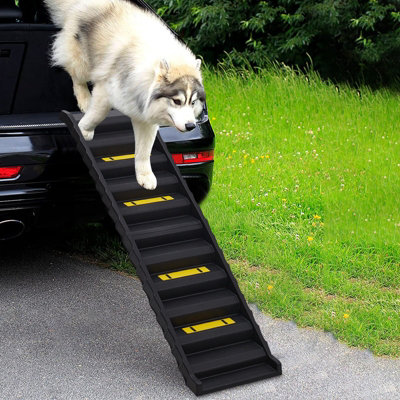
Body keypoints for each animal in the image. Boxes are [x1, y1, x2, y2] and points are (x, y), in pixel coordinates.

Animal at [44, 0, 206, 190]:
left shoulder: (145, 116)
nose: (191, 126)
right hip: (81, 61)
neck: (146, 75)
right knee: (77, 78)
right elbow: (96, 116)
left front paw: (145, 176)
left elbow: (144, 151)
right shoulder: (105, 92)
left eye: (193, 102)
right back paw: (84, 100)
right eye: (177, 101)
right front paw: (84, 130)